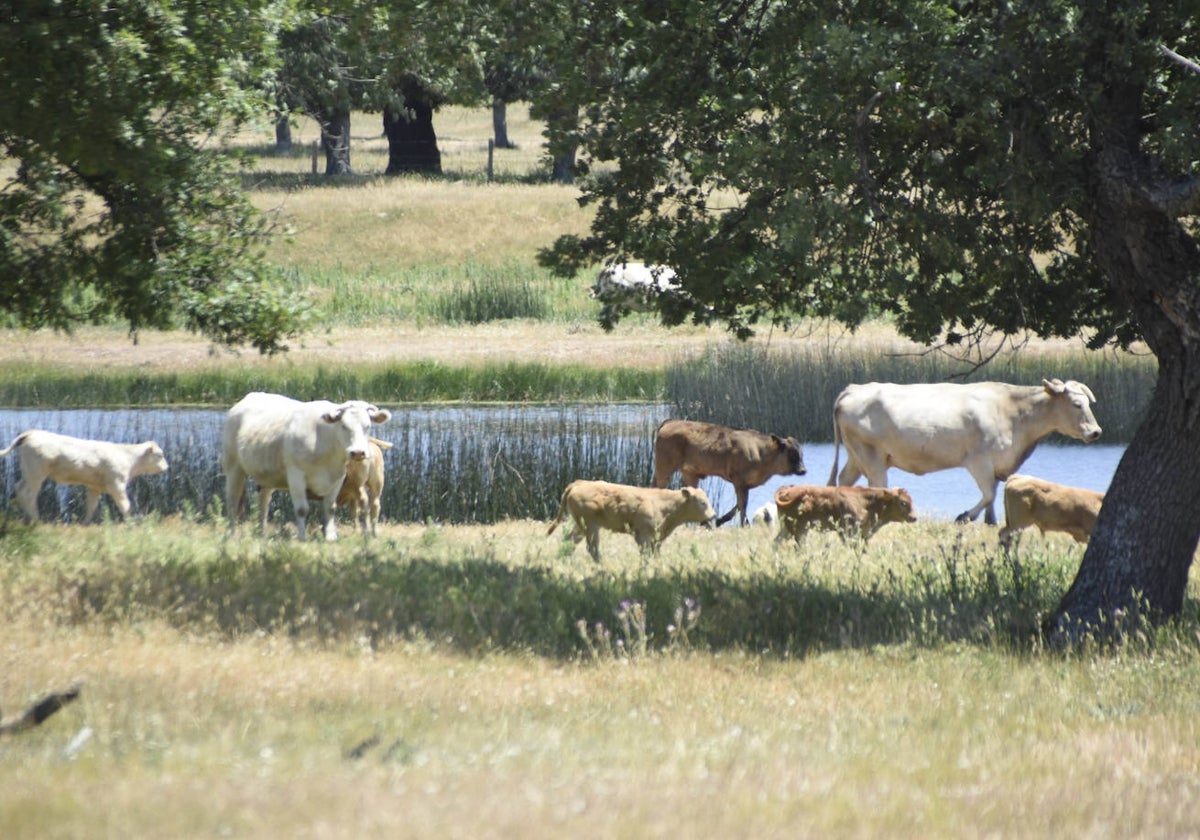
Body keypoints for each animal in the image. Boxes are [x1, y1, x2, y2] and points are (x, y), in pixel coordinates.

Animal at [0, 429, 169, 520]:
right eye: (160, 455)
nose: (166, 468)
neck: (128, 457)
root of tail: (31, 433)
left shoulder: (95, 487)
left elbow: (91, 506)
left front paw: (85, 522)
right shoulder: (117, 484)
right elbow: (125, 505)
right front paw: (130, 521)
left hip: (28, 472)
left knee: (19, 488)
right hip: (36, 474)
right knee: (29, 493)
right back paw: (36, 519)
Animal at [223, 391, 391, 542]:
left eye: (367, 426)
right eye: (344, 426)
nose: (358, 452)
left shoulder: (338, 477)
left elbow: (330, 507)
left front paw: (330, 537)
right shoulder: (296, 475)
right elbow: (302, 510)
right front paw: (302, 536)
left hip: (266, 477)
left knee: (263, 502)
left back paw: (262, 534)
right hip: (233, 467)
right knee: (232, 501)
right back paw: (232, 534)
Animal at [830, 381, 1099, 525]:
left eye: (1088, 403)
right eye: (1076, 404)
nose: (1096, 431)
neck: (1013, 413)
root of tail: (853, 389)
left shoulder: (998, 464)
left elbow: (994, 493)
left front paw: (991, 522)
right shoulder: (978, 461)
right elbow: (989, 493)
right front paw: (965, 516)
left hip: (856, 456)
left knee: (844, 480)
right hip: (872, 456)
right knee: (876, 485)